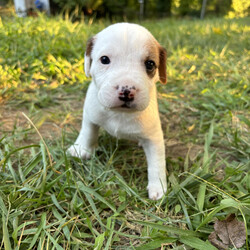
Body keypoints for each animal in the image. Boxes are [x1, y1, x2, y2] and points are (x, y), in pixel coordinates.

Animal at [67, 22, 167, 200]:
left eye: (150, 64)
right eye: (104, 60)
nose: (126, 91)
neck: (120, 114)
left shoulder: (154, 137)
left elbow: (157, 162)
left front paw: (158, 186)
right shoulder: (90, 114)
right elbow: (88, 131)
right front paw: (81, 149)